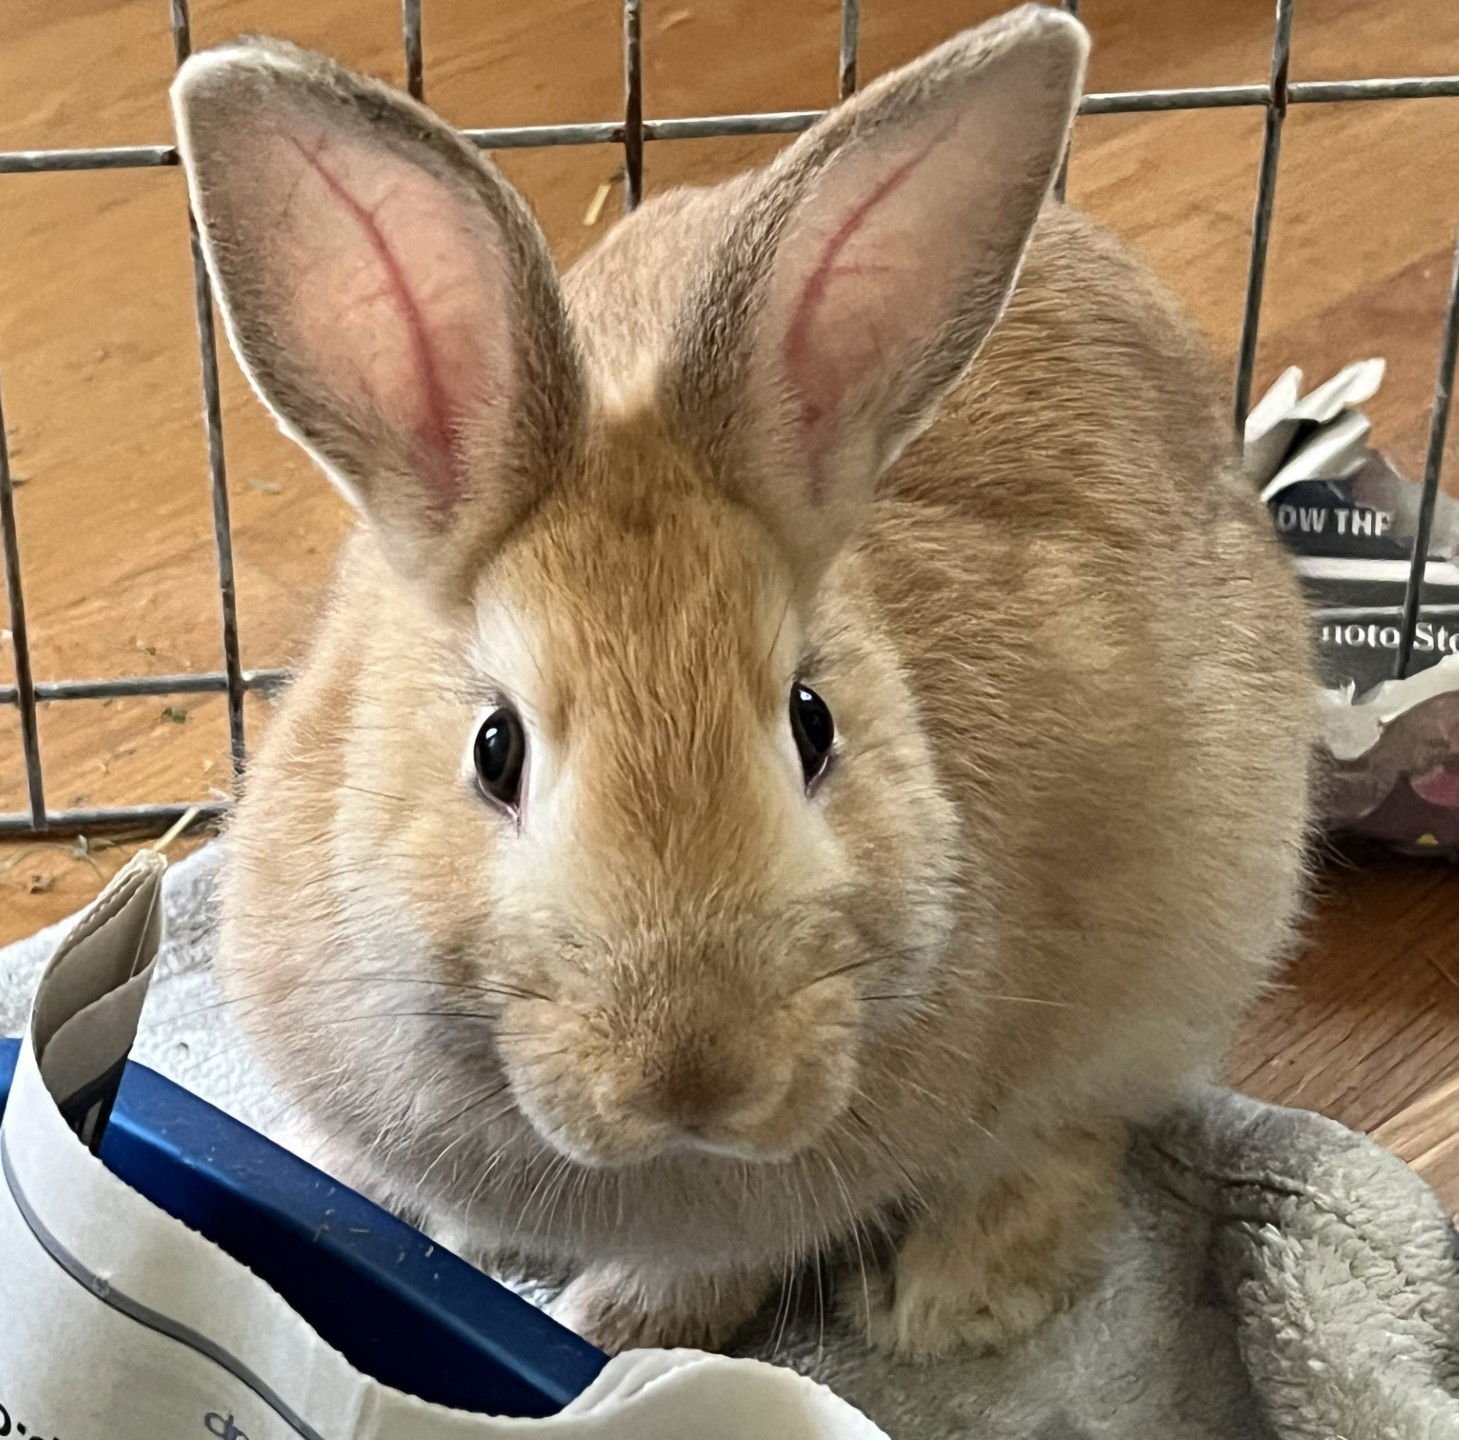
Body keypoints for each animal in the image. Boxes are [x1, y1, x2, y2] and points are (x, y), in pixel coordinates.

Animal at [174, 3, 1314, 1361]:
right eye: (494, 750)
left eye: (812, 725)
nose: (696, 1076)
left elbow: (723, 1263)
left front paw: (616, 1326)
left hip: (1195, 944)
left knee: (1082, 1130)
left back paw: (949, 1297)